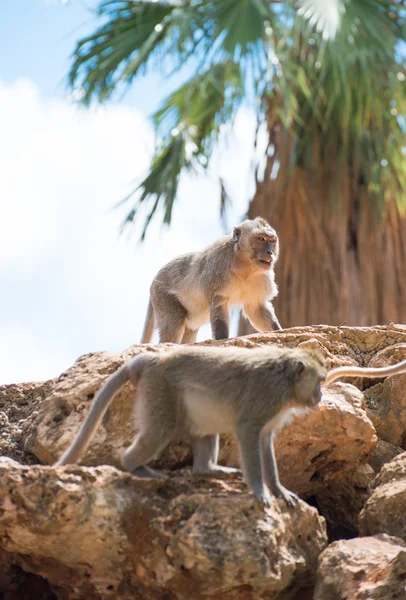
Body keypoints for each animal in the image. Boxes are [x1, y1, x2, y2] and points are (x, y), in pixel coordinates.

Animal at [54, 346, 326, 506]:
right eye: (320, 381)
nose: (321, 395)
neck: (287, 383)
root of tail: (153, 360)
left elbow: (265, 439)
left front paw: (278, 490)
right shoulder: (267, 397)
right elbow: (249, 432)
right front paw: (260, 491)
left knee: (206, 426)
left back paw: (207, 469)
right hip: (159, 391)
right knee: (158, 432)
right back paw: (136, 467)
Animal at [141, 218, 280, 344]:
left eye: (271, 241)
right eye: (261, 239)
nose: (270, 252)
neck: (245, 265)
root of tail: (155, 280)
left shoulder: (262, 278)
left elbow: (256, 308)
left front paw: (277, 331)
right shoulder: (218, 270)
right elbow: (218, 304)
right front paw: (222, 340)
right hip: (162, 295)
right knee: (174, 324)